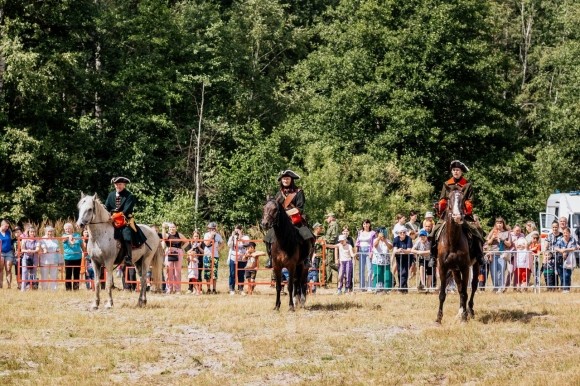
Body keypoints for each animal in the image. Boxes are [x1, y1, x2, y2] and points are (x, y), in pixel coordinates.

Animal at [436, 188, 480, 322]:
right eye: (449, 199)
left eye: (463, 199)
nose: (457, 217)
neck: (452, 241)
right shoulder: (443, 268)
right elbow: (442, 294)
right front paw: (438, 319)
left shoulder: (465, 268)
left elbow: (465, 292)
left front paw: (465, 318)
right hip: (455, 270)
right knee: (460, 287)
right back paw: (460, 311)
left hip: (476, 264)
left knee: (473, 286)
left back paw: (470, 310)